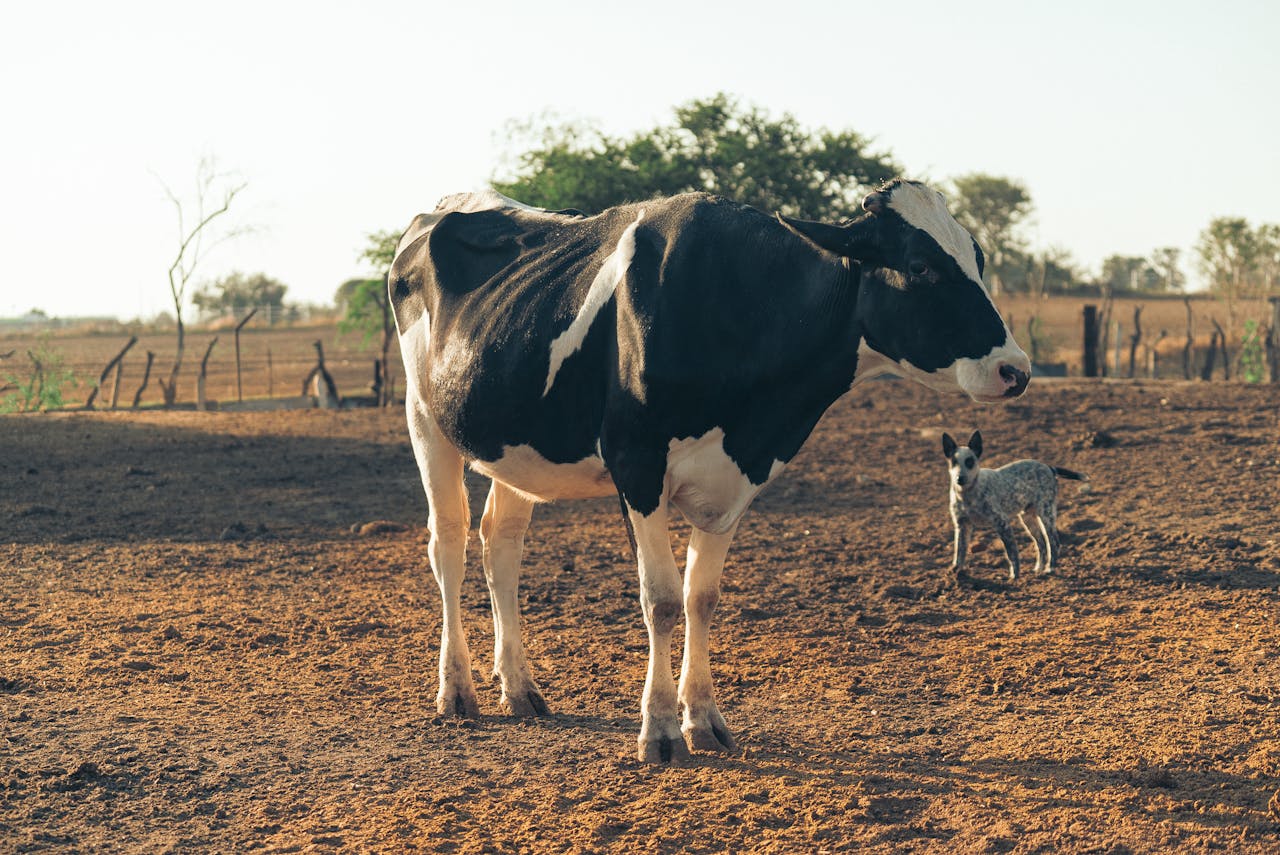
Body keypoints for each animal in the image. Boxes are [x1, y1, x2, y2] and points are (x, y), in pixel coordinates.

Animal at [389, 179, 1031, 764]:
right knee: (448, 543)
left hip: (517, 446)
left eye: (977, 258)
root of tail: (449, 204)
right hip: (425, 418)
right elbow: (662, 599)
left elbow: (702, 597)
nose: (1016, 369)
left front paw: (703, 721)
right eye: (920, 266)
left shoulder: (735, 481)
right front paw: (660, 732)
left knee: (501, 543)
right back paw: (457, 691)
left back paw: (520, 689)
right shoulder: (636, 463)